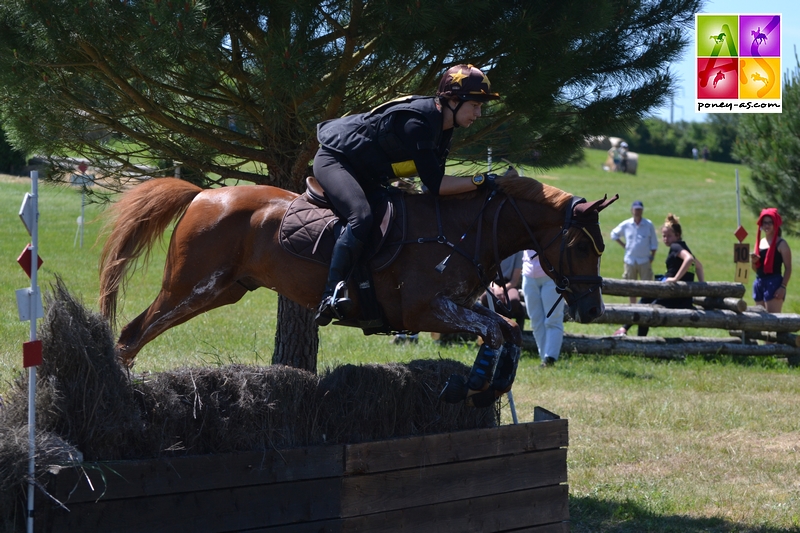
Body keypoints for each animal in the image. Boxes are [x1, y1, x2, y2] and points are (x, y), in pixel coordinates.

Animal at [97, 172, 616, 406]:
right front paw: (474, 386)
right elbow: (499, 330)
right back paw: (119, 394)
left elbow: (504, 330)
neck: (463, 230)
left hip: (224, 289)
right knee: (134, 331)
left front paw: (487, 387)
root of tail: (204, 191)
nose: (593, 309)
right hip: (191, 286)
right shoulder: (425, 311)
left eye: (602, 247)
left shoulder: (457, 308)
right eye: (579, 245)